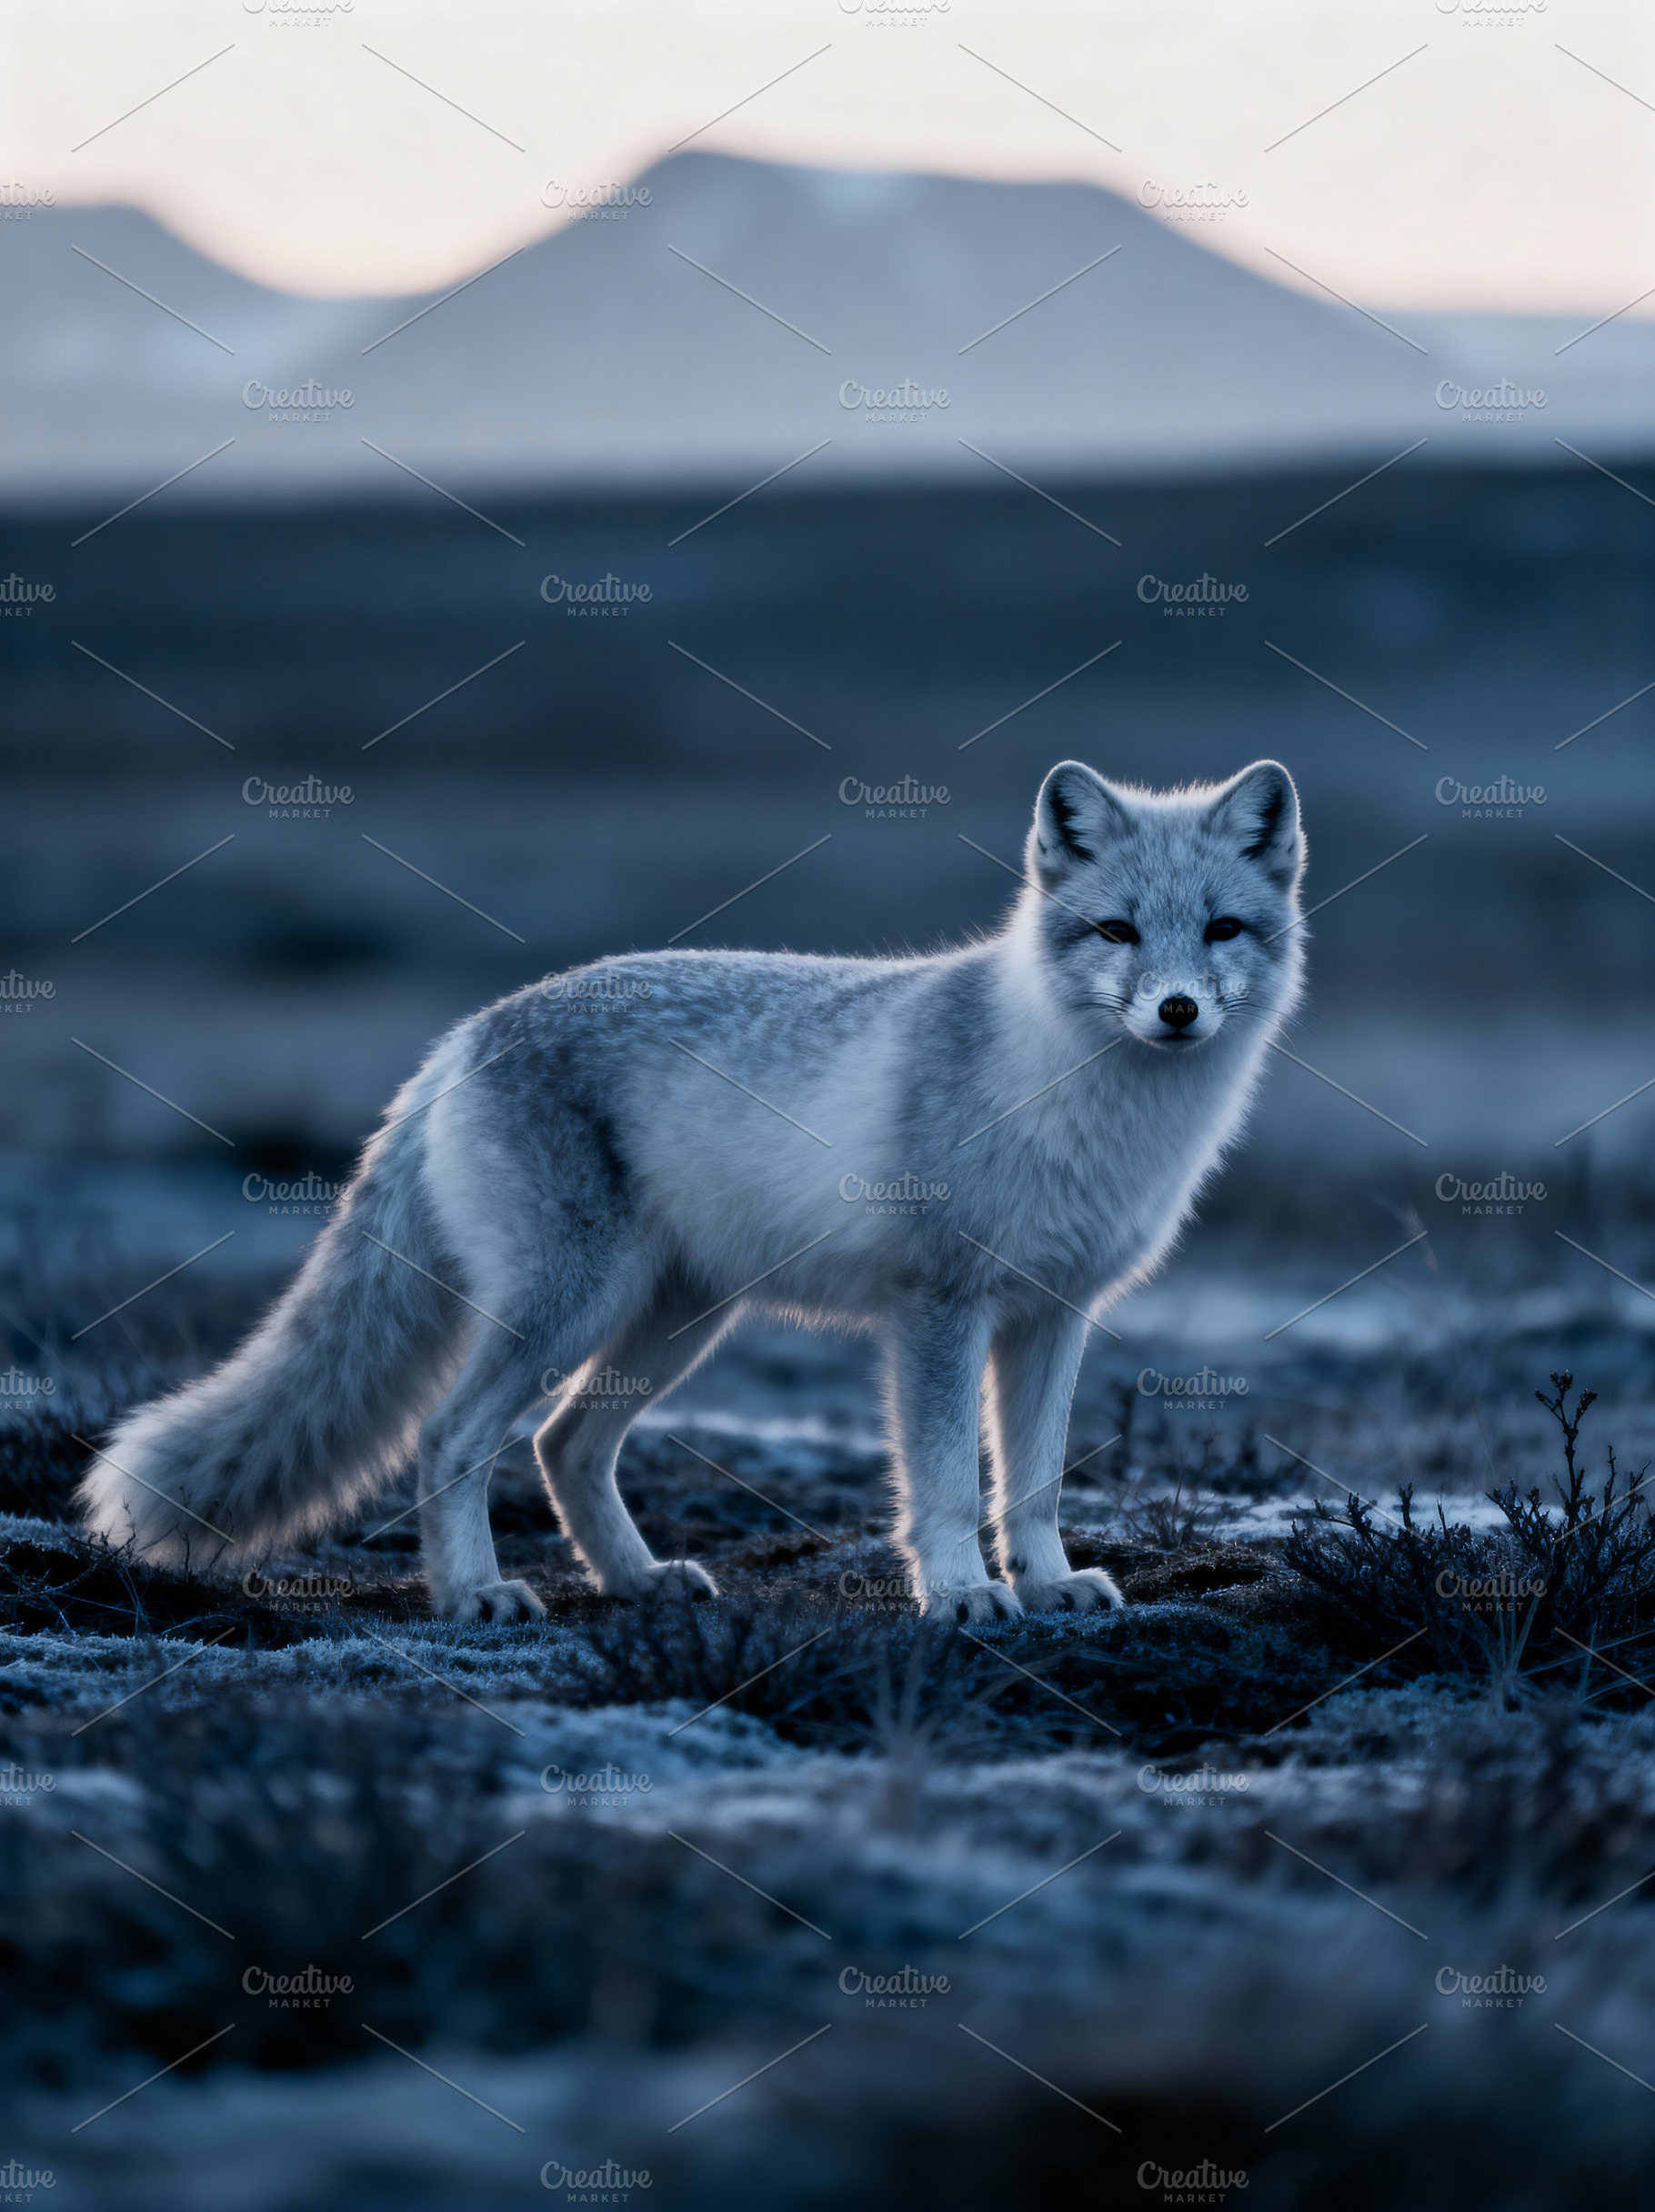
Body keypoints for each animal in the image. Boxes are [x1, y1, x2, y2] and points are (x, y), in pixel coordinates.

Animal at [80, 758, 1305, 1626]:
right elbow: (951, 1481)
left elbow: (1037, 1481)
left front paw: (1048, 1586)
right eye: (1115, 931)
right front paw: (960, 1595)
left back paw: (633, 1580)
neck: (1078, 1099)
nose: (1178, 1010)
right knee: (448, 1435)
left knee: (562, 1445)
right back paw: (473, 1595)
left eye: (1220, 929)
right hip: (569, 1304)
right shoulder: (939, 1307)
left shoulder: (1053, 1311)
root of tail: (459, 1038)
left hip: (674, 1318)